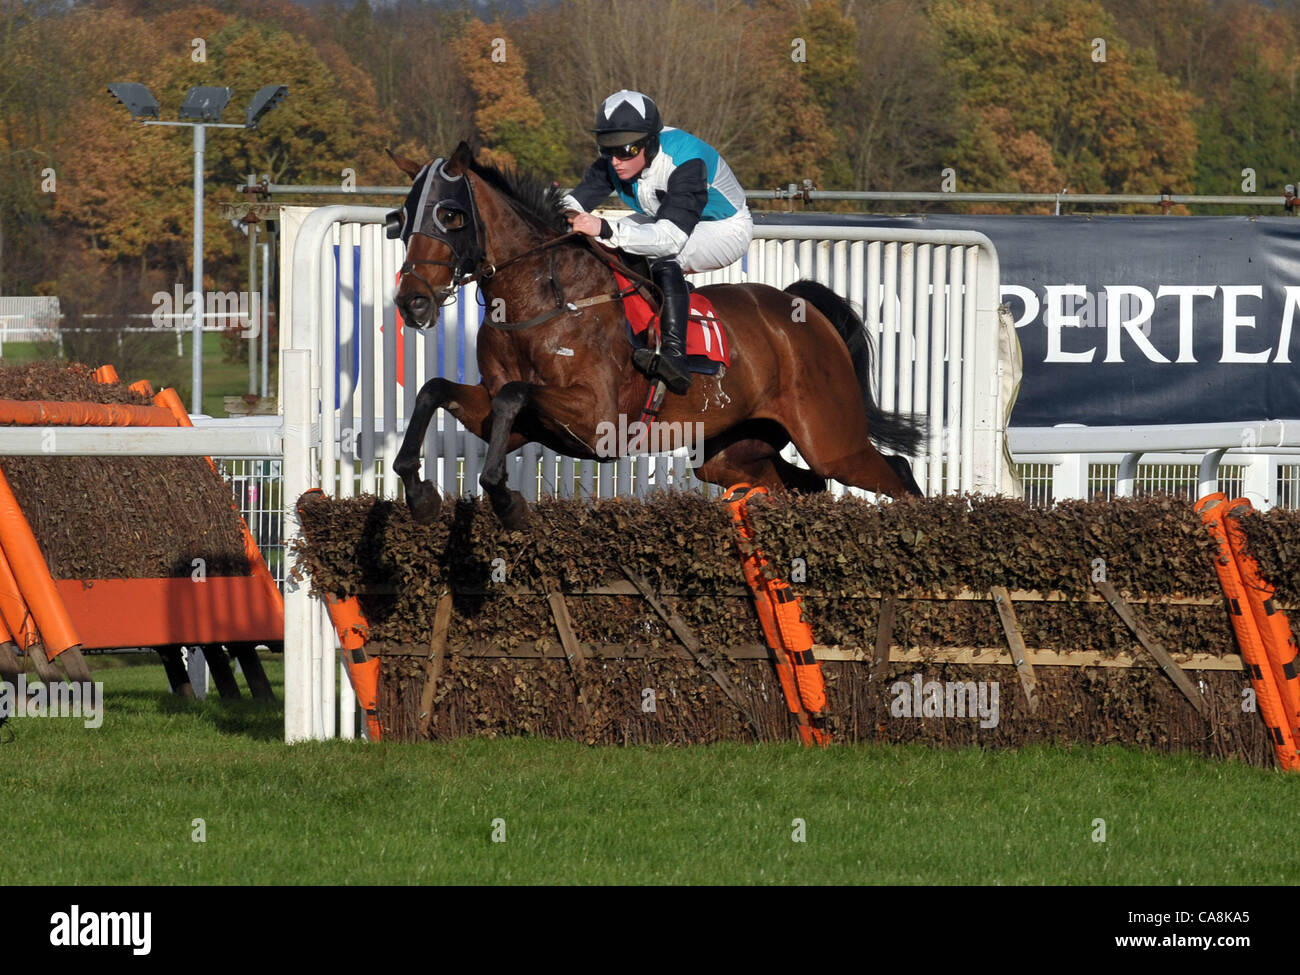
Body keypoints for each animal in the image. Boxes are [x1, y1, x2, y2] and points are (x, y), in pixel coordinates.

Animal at [384, 141, 925, 530]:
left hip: (831, 440)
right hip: (734, 451)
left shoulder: (597, 420)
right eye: (402, 218)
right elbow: (438, 390)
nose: (413, 302)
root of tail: (805, 311)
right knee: (803, 485)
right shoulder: (511, 421)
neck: (541, 299)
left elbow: (513, 395)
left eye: (450, 214)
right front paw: (420, 494)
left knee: (896, 473)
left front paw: (505, 499)